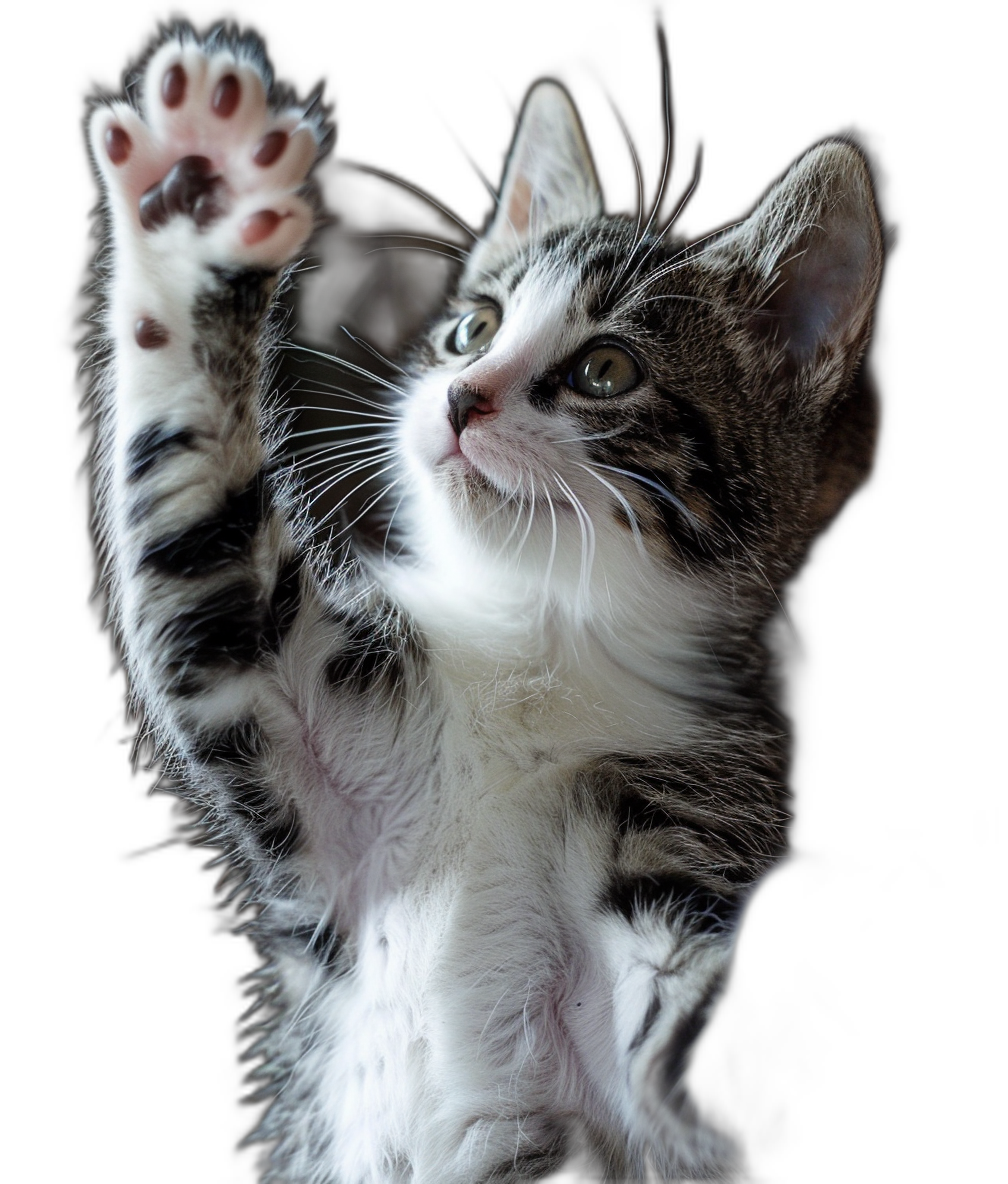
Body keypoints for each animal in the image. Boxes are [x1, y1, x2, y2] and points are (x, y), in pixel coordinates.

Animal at [82, 32, 881, 1179]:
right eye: (472, 327)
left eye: (606, 368)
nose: (461, 398)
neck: (537, 640)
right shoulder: (282, 711)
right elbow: (199, 548)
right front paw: (203, 207)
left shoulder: (677, 833)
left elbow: (695, 1065)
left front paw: (794, 954)